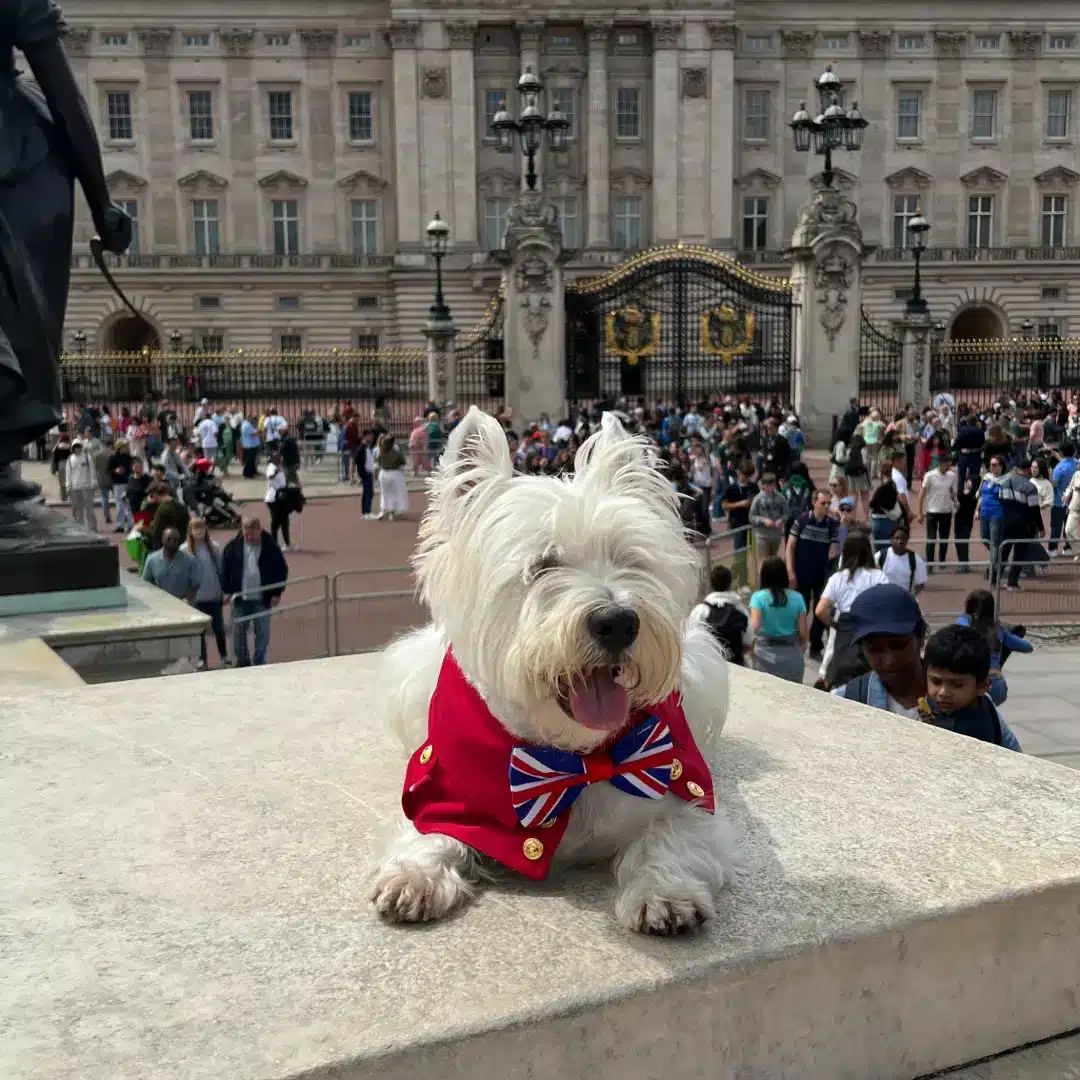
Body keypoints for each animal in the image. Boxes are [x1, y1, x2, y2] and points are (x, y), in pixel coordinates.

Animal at [371, 408, 734, 933]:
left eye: (629, 559)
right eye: (542, 565)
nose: (618, 622)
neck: (569, 759)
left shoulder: (687, 794)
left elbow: (669, 836)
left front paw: (666, 893)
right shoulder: (445, 791)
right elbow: (430, 831)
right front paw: (414, 876)